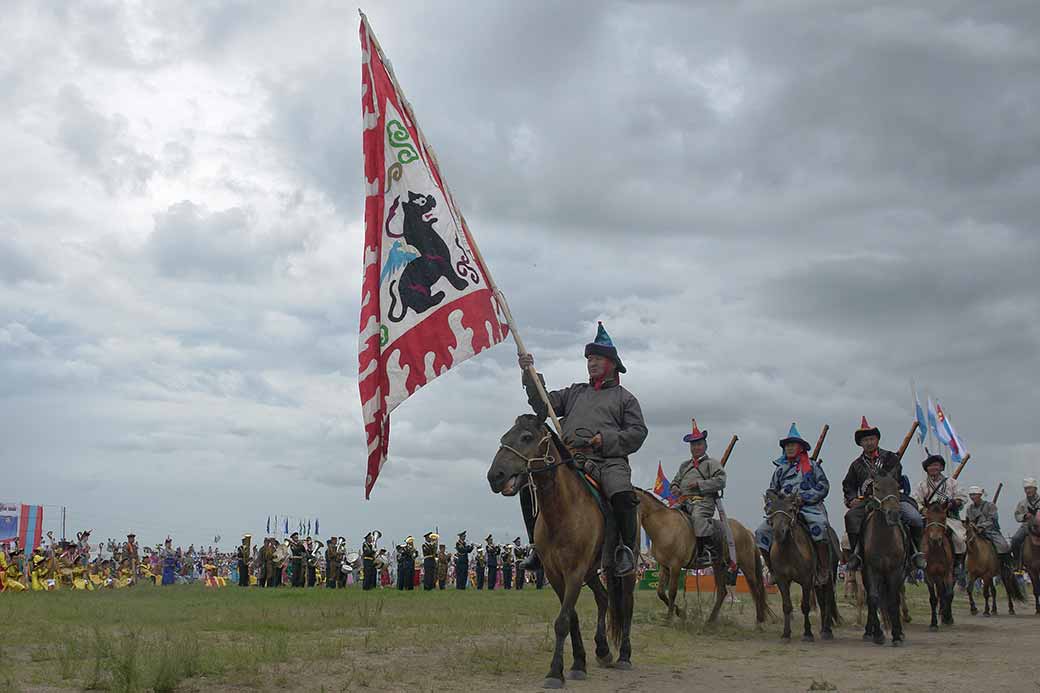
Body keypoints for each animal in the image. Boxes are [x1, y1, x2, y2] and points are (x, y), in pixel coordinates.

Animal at [488, 412, 632, 686]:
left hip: (620, 567)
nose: (495, 476)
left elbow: (563, 620)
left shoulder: (574, 572)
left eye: (526, 437)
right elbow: (571, 617)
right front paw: (577, 663)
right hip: (591, 572)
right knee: (603, 598)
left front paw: (555, 672)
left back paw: (624, 656)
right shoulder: (555, 574)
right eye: (504, 437)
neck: (563, 512)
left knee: (626, 605)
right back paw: (603, 650)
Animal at [632, 482, 773, 624]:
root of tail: (746, 531)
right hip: (719, 566)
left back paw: (759, 621)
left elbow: (672, 592)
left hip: (746, 566)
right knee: (722, 592)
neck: (665, 526)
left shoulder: (675, 566)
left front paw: (669, 619)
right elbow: (661, 592)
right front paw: (680, 613)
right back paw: (710, 621)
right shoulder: (664, 566)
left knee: (756, 589)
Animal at [765, 489, 844, 640]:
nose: (778, 532)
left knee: (828, 600)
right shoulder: (782, 581)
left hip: (830, 576)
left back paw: (827, 631)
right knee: (822, 601)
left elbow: (805, 606)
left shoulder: (806, 581)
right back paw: (823, 629)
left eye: (790, 509)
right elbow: (787, 606)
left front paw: (807, 633)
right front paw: (786, 633)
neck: (788, 553)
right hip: (817, 583)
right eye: (771, 510)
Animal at [856, 472, 906, 645]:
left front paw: (897, 635)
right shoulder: (871, 570)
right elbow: (873, 598)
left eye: (897, 486)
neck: (884, 540)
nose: (894, 514)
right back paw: (868, 632)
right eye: (876, 488)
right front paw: (877, 634)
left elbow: (893, 600)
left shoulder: (895, 570)